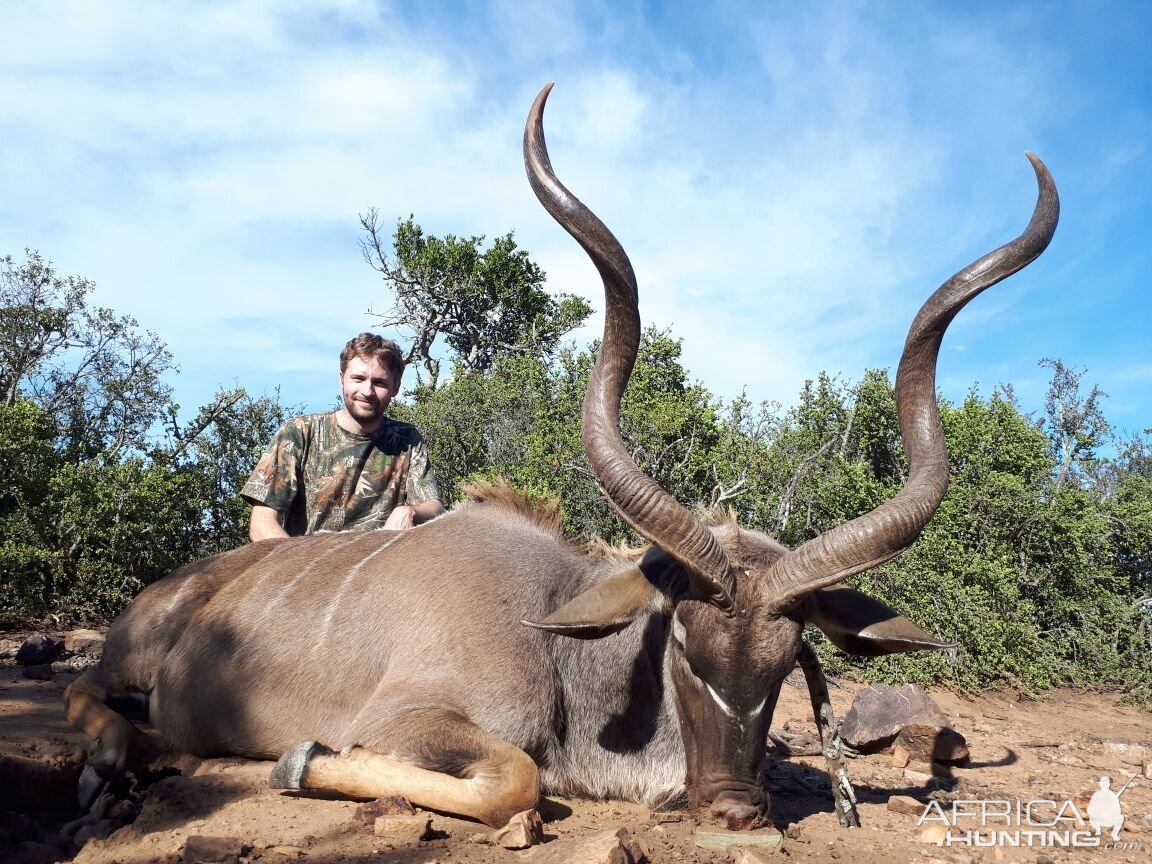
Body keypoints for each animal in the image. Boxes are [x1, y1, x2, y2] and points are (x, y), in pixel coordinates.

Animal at [60, 86, 1055, 834]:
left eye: (786, 663)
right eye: (683, 645)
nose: (734, 811)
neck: (556, 633)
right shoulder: (404, 718)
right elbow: (513, 779)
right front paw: (301, 762)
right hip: (126, 660)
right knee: (83, 690)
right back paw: (112, 759)